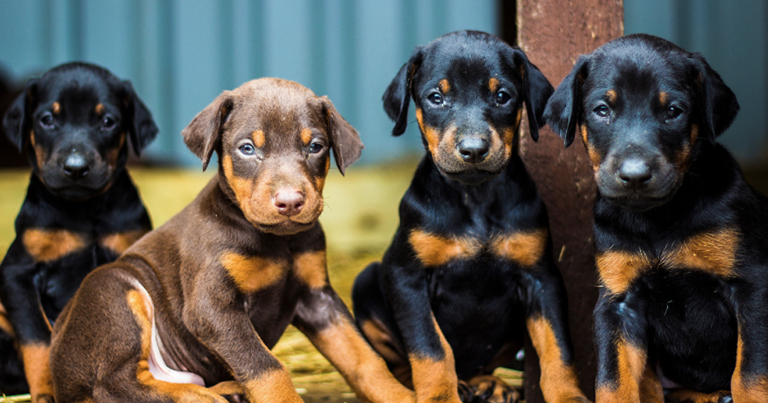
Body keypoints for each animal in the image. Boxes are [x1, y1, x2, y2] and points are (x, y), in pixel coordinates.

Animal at [0, 62, 158, 400]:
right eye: (47, 119)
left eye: (107, 121)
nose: (75, 168)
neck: (85, 209)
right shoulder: (17, 272)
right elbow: (38, 336)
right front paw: (47, 390)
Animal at [49, 78, 414, 403]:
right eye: (247, 148)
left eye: (315, 146)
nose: (290, 202)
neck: (276, 240)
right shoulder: (211, 307)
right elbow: (267, 367)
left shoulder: (318, 298)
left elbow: (364, 358)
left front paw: (401, 396)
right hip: (114, 289)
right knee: (113, 384)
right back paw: (198, 398)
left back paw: (225, 390)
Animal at [352, 31, 592, 403]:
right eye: (436, 98)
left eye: (502, 96)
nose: (474, 150)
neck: (475, 196)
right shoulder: (407, 277)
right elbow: (430, 348)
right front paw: (438, 397)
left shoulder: (542, 278)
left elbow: (558, 347)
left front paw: (568, 396)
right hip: (365, 282)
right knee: (400, 365)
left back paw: (487, 383)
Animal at [544, 33, 768, 402]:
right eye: (602, 110)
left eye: (673, 111)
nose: (634, 175)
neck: (656, 219)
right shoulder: (618, 300)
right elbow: (612, 380)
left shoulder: (752, 285)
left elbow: (751, 374)